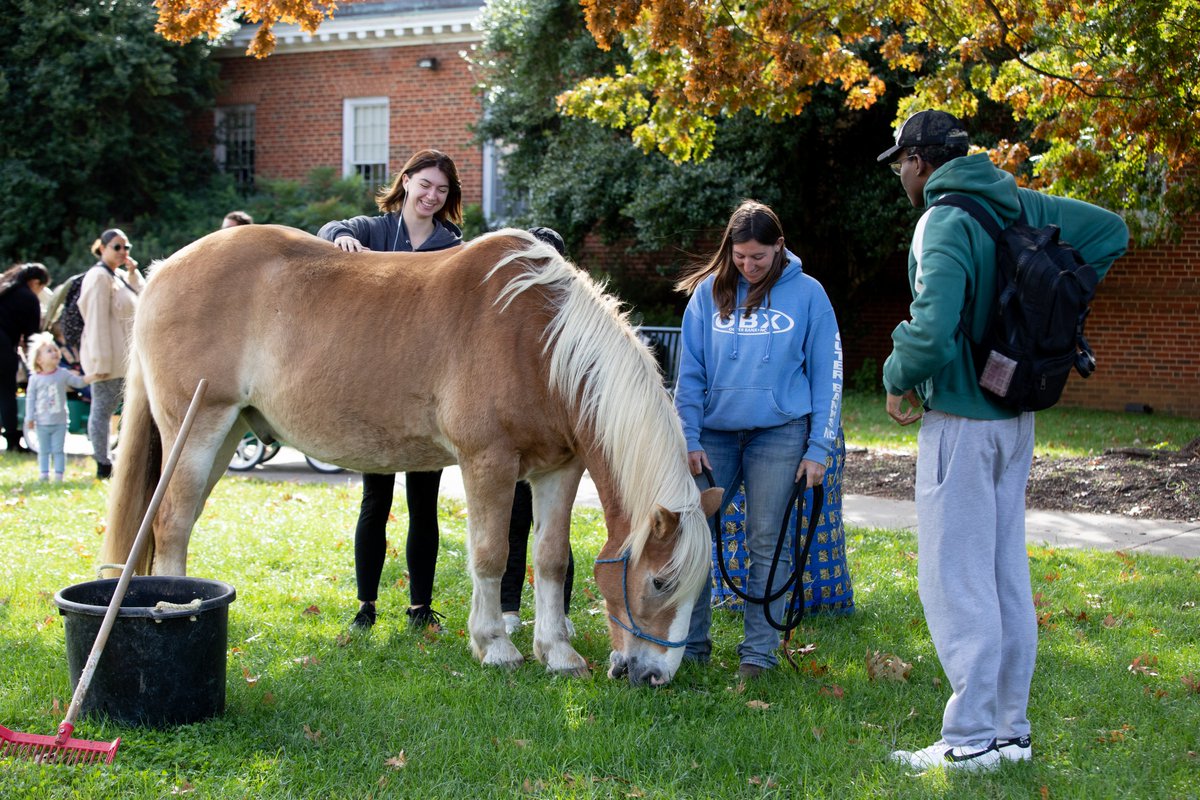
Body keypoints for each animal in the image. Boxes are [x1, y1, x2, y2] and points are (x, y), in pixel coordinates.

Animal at [100, 225, 720, 690]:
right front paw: (495, 645)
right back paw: (179, 609)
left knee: (173, 523)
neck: (540, 342)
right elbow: (492, 554)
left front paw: (558, 653)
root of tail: (161, 271)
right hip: (198, 428)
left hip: (227, 433)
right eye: (660, 582)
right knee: (172, 523)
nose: (654, 676)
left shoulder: (558, 470)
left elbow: (549, 559)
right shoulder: (488, 463)